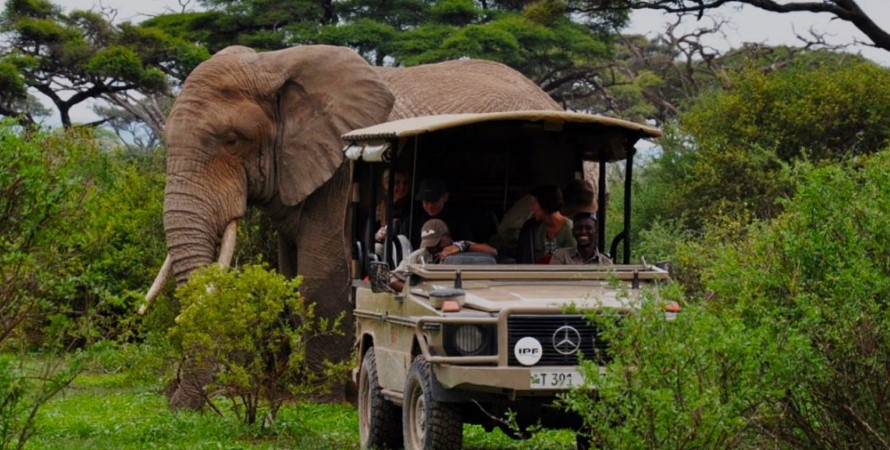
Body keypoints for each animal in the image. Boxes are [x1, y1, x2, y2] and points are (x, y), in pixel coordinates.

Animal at [147, 44, 562, 409]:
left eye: (233, 140)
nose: (177, 403)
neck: (272, 64)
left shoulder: (342, 172)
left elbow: (319, 274)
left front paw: (321, 398)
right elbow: (289, 274)